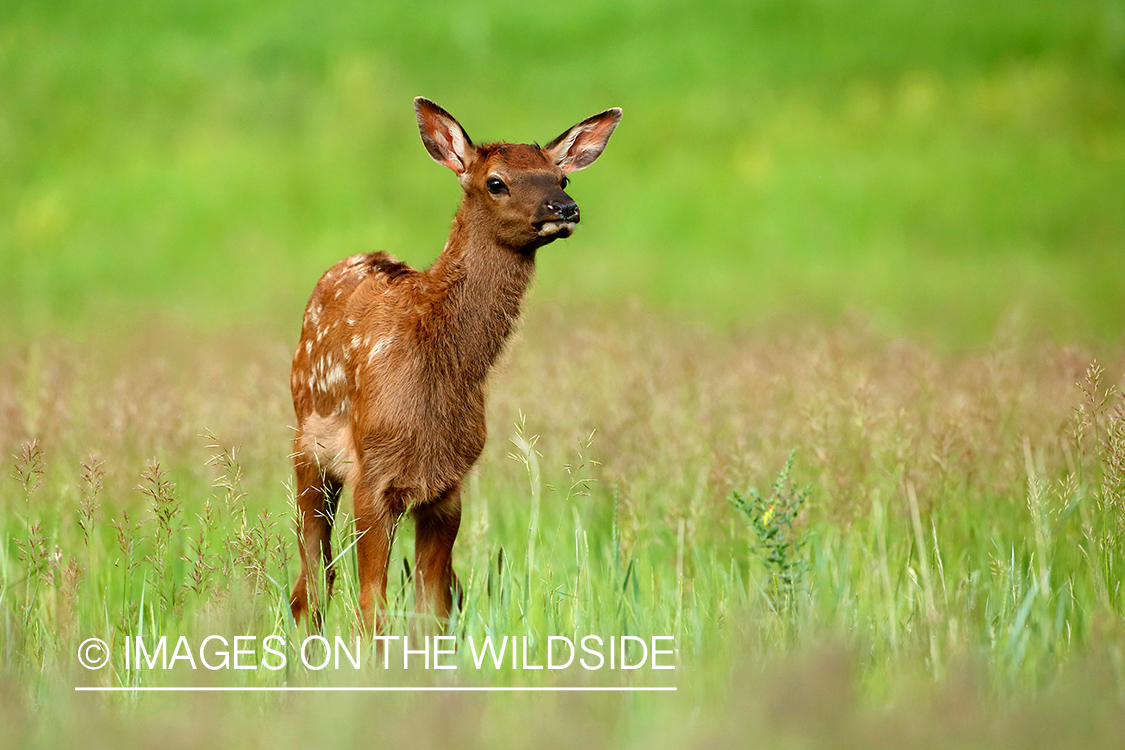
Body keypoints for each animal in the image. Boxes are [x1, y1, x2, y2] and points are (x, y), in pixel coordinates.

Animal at [290, 96, 621, 629]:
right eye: (496, 182)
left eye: (562, 178)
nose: (564, 209)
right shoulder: (372, 475)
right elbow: (373, 606)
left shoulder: (448, 487)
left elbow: (434, 608)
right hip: (306, 450)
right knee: (311, 586)